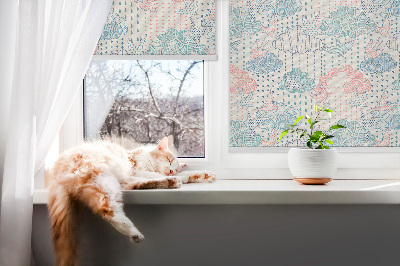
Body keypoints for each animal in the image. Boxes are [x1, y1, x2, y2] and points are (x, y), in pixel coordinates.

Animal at [47, 137, 216, 266]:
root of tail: (56, 172)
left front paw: (203, 175)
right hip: (103, 178)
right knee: (107, 209)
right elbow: (153, 174)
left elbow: (185, 174)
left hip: (114, 181)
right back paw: (134, 232)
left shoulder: (135, 174)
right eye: (169, 160)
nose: (171, 171)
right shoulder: (137, 169)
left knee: (134, 186)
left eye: (174, 166)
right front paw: (182, 176)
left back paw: (170, 182)